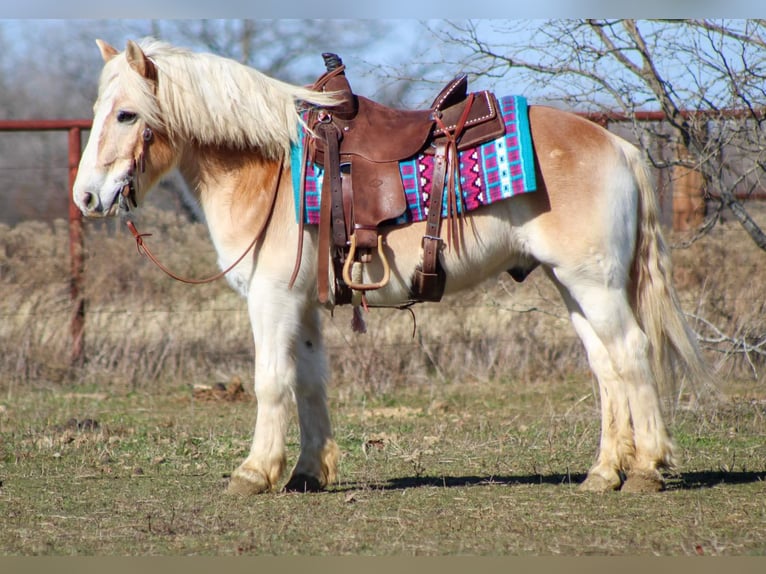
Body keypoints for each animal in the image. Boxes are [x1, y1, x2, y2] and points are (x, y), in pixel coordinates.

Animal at [73, 38, 712, 498]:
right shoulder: (303, 306)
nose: (86, 198)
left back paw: (647, 470)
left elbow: (271, 381)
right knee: (607, 368)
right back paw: (604, 474)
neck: (269, 164)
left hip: (594, 286)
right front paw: (308, 472)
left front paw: (254, 473)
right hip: (574, 288)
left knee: (632, 353)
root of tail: (617, 145)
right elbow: (309, 381)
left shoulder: (271, 300)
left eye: (126, 115)